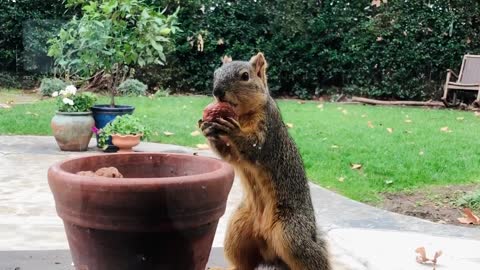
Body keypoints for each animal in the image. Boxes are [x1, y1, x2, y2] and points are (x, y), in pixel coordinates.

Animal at [200, 51, 334, 268]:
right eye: (215, 73)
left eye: (245, 76)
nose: (217, 91)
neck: (242, 115)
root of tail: (269, 250)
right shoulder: (235, 154)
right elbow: (230, 156)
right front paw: (208, 129)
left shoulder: (268, 129)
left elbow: (254, 147)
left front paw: (232, 130)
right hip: (238, 228)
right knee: (243, 263)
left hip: (291, 233)